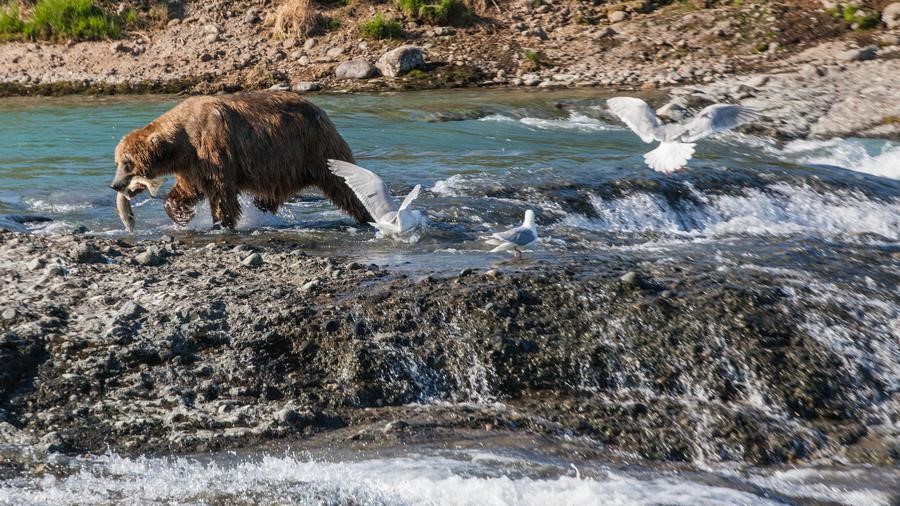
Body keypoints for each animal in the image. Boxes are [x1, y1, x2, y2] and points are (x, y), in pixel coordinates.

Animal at [109, 92, 372, 229]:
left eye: (127, 163)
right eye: (117, 162)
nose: (115, 185)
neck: (182, 142)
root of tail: (322, 111)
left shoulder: (212, 146)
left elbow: (221, 191)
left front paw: (220, 223)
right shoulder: (192, 165)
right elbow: (188, 190)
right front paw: (182, 214)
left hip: (313, 147)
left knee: (342, 183)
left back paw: (366, 215)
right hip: (284, 164)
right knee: (273, 193)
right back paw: (263, 207)